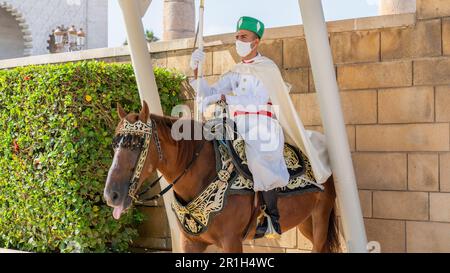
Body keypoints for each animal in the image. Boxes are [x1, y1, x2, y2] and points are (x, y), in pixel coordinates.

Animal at [103, 102, 340, 253]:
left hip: (321, 215)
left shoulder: (231, 241)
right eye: (115, 144)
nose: (111, 195)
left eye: (136, 144)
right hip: (306, 221)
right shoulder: (190, 242)